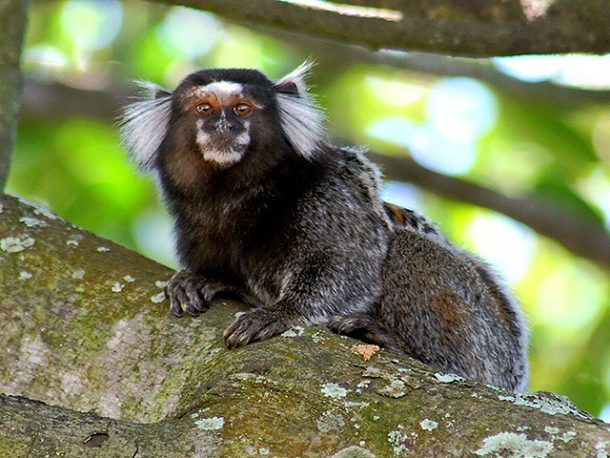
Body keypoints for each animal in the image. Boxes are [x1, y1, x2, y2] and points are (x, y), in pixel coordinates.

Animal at [120, 61, 528, 390]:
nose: (224, 125)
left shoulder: (329, 200)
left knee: (408, 248)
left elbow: (352, 267)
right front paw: (209, 281)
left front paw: (282, 312)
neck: (238, 198)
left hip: (485, 337)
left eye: (242, 108)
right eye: (203, 108)